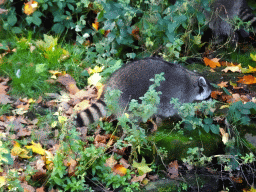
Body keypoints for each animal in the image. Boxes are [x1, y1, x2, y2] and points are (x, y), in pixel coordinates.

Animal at [76, 57, 212, 127]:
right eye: (208, 96)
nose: (213, 103)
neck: (191, 79)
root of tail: (110, 87)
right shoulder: (176, 95)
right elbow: (169, 110)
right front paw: (183, 118)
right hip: (128, 99)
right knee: (131, 115)